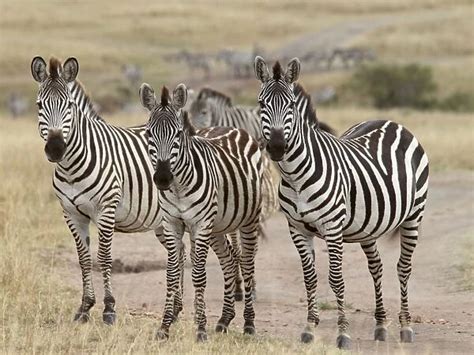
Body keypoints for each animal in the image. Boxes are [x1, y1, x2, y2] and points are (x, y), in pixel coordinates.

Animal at [139, 83, 262, 342]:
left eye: (177, 134)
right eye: (149, 134)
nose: (162, 178)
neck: (178, 188)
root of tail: (231, 128)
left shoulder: (200, 224)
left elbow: (198, 275)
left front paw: (201, 330)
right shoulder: (172, 223)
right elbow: (172, 273)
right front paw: (164, 327)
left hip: (248, 220)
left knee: (246, 263)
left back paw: (248, 324)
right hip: (217, 226)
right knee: (229, 260)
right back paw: (225, 320)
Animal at [256, 56, 430, 350]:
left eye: (291, 105)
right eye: (261, 104)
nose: (278, 147)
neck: (295, 174)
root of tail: (391, 122)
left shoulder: (332, 227)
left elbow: (336, 280)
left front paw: (343, 333)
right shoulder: (297, 228)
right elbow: (310, 279)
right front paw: (309, 329)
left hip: (413, 216)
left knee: (403, 268)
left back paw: (406, 326)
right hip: (369, 226)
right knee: (376, 268)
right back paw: (381, 325)